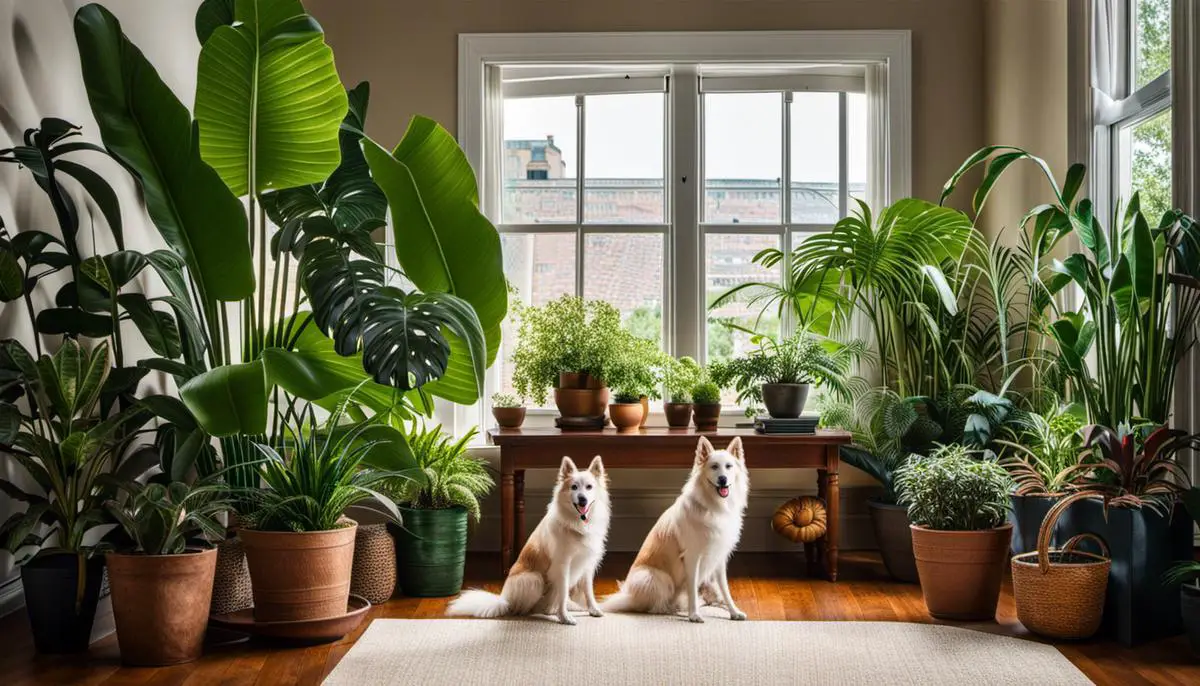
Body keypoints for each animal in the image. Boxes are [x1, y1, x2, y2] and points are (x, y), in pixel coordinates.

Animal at [446, 455, 609, 623]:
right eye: (574, 487)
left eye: (589, 487)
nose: (582, 499)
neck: (577, 523)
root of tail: (503, 599)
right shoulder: (562, 565)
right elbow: (563, 593)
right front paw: (564, 617)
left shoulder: (587, 564)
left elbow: (588, 591)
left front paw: (593, 609)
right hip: (534, 579)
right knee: (525, 609)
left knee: (547, 606)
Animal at [600, 436, 748, 623]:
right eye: (714, 466)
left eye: (729, 466)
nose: (723, 479)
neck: (713, 506)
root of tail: (628, 596)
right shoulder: (692, 557)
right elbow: (692, 587)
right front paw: (694, 615)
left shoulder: (719, 557)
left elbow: (725, 589)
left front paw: (734, 612)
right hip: (659, 578)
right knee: (655, 608)